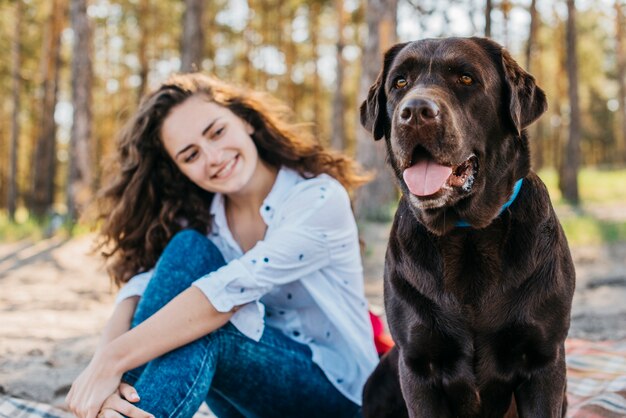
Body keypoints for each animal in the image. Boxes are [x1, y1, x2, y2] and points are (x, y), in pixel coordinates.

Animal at [358, 36, 572, 418]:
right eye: (400, 82)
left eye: (466, 78)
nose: (414, 112)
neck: (466, 234)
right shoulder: (417, 365)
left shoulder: (544, 361)